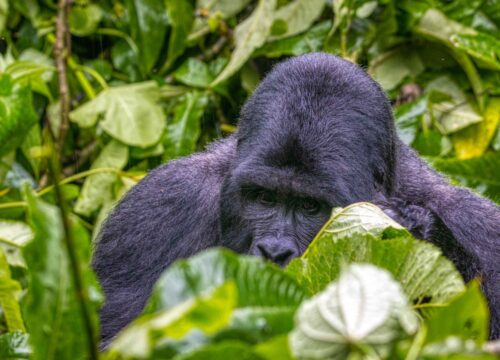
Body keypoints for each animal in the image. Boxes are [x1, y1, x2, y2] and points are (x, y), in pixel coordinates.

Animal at [92, 52, 498, 344]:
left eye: (309, 206)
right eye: (264, 198)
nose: (274, 251)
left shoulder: (480, 225)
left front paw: (424, 234)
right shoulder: (157, 213)